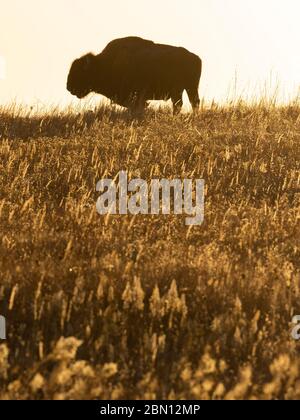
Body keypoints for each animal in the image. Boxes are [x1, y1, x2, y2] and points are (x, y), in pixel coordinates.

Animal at [66, 36, 202, 113]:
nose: (68, 87)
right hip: (190, 88)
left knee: (179, 104)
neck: (105, 63)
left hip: (179, 90)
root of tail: (194, 57)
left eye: (79, 72)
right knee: (193, 102)